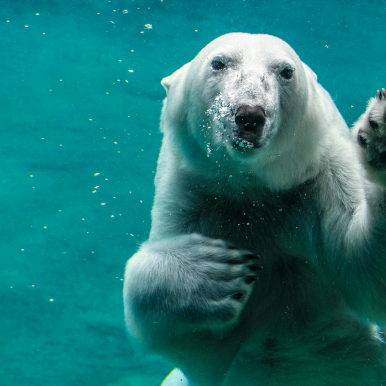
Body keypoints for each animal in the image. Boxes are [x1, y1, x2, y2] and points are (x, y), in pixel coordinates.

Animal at [125, 34, 386, 386]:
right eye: (218, 62)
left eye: (286, 71)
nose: (250, 115)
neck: (254, 190)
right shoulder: (194, 194)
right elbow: (181, 335)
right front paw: (215, 270)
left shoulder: (320, 177)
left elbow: (360, 264)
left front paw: (380, 132)